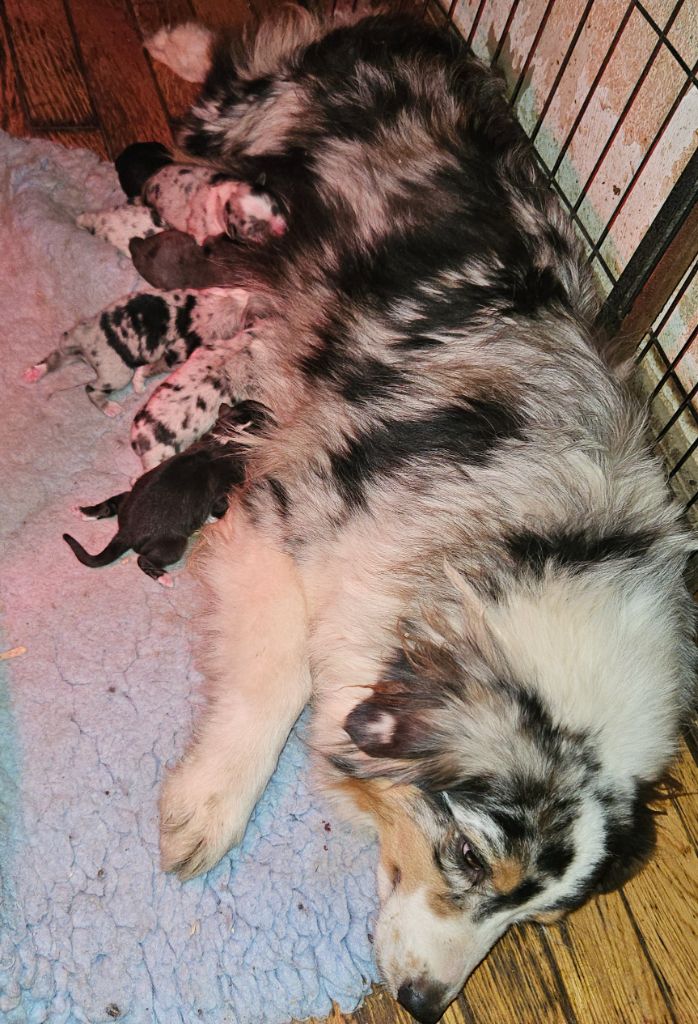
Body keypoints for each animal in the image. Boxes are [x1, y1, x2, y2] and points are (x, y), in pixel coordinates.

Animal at [64, 400, 269, 584]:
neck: (230, 434)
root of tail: (125, 532)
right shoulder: (224, 491)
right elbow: (219, 508)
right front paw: (212, 519)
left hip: (127, 497)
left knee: (110, 505)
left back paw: (82, 512)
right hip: (172, 545)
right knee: (143, 559)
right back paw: (163, 577)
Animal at [116, 10, 694, 1022]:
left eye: (539, 918)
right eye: (465, 854)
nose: (426, 1001)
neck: (527, 546)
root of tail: (413, 23)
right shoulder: (284, 507)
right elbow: (277, 678)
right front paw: (208, 807)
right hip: (250, 114)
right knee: (226, 77)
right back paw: (176, 44)